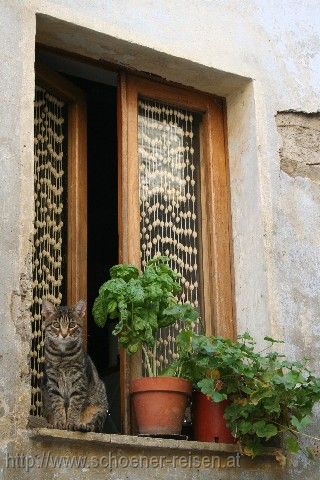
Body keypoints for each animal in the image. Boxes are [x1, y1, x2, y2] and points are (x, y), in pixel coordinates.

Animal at [41, 300, 108, 432]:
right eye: (56, 325)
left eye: (72, 325)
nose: (64, 334)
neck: (62, 356)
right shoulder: (53, 381)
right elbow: (57, 404)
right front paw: (60, 423)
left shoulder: (79, 381)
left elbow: (75, 405)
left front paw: (71, 423)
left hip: (99, 407)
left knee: (94, 425)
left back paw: (83, 425)